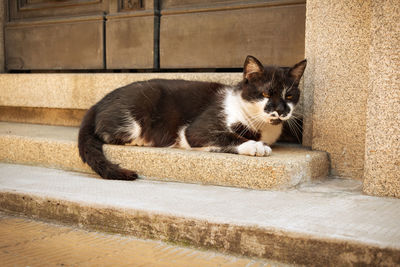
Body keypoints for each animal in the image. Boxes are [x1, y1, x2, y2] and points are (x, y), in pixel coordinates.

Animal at [79, 56, 308, 182]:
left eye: (289, 96)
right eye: (266, 94)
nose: (281, 111)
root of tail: (97, 103)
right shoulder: (198, 128)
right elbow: (224, 136)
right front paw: (255, 146)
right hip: (135, 117)